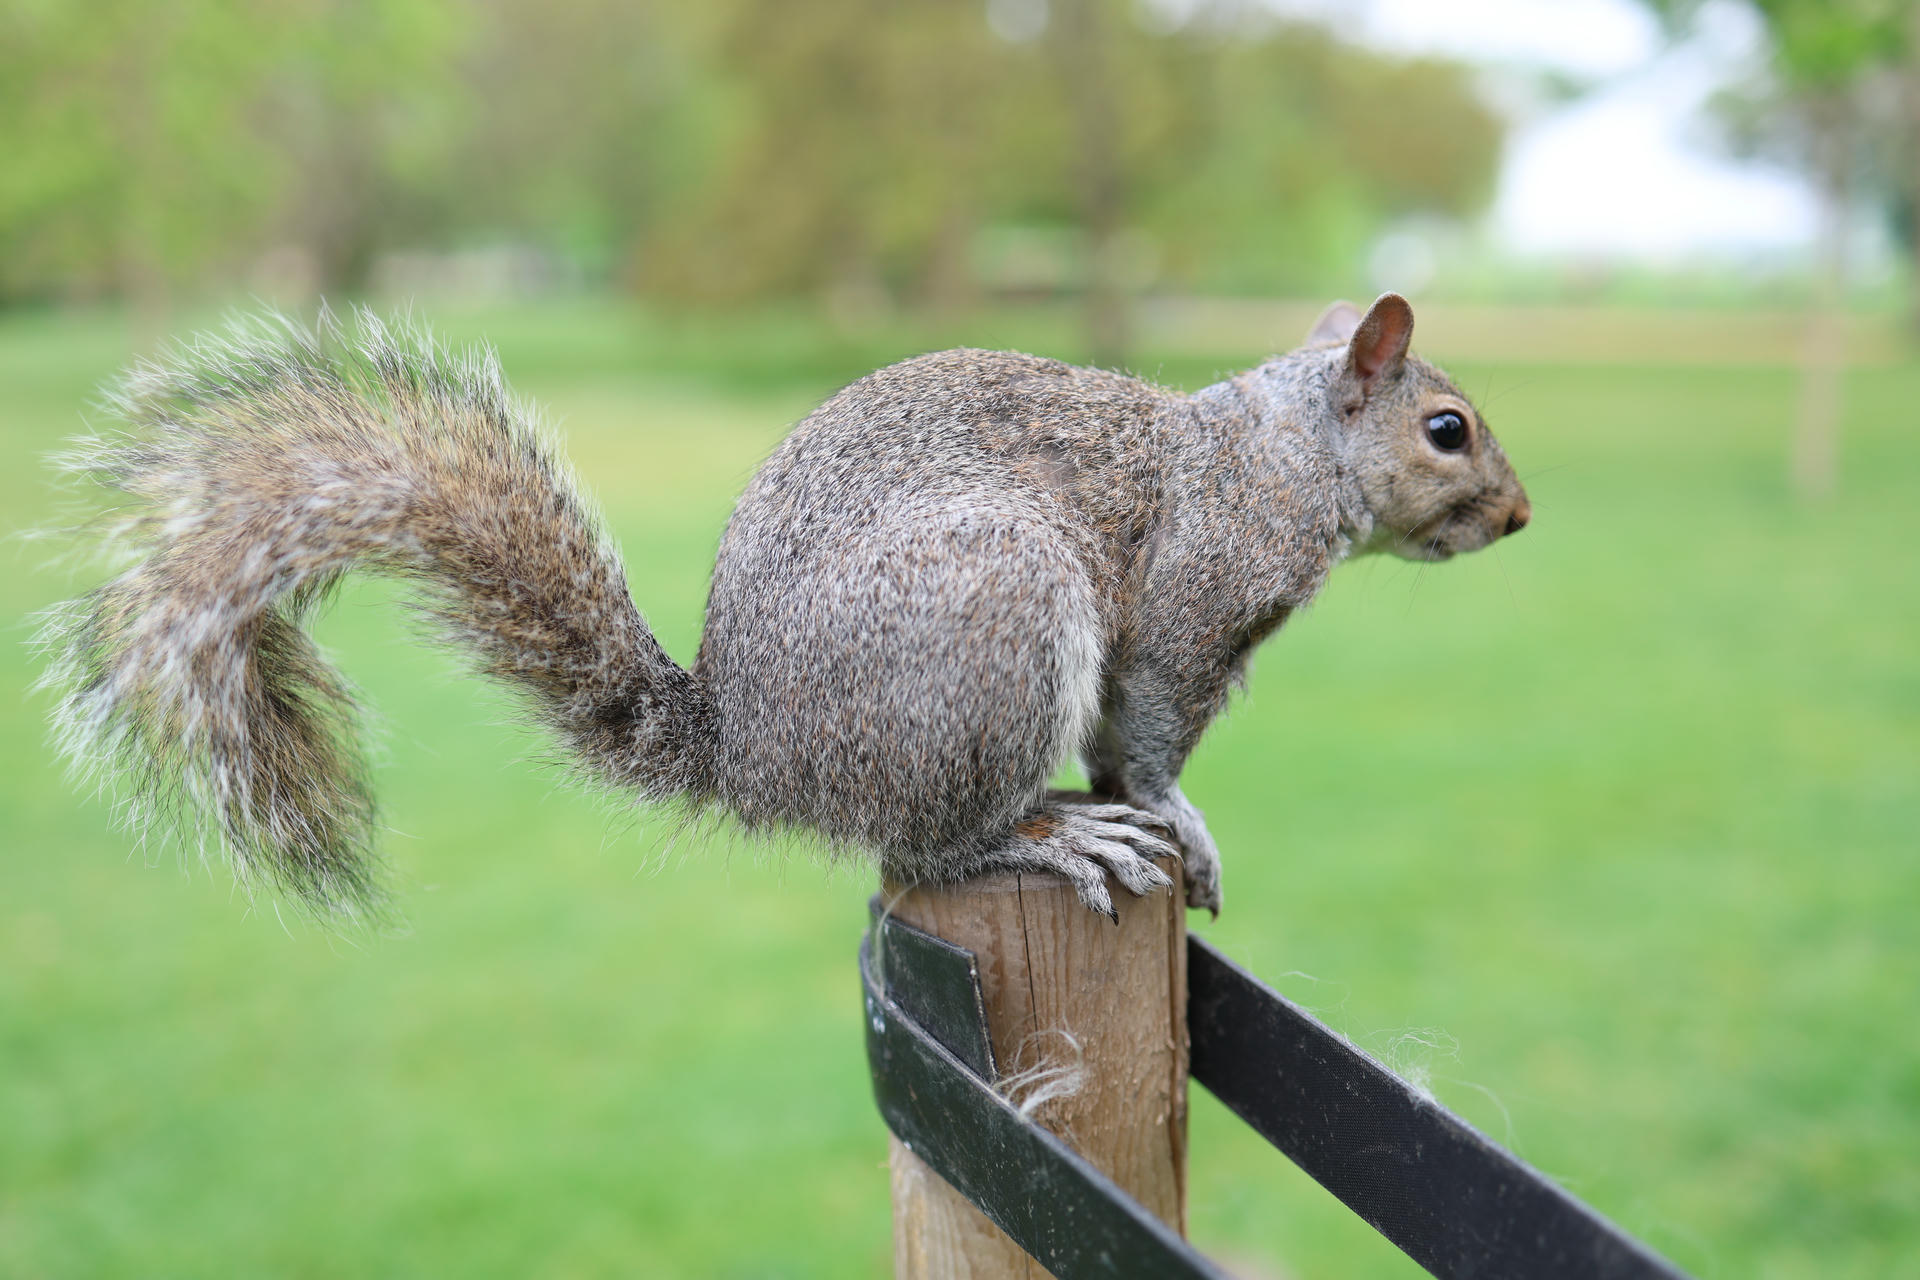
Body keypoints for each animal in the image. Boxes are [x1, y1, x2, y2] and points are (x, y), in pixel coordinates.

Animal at [39, 292, 1527, 922]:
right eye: (1447, 429)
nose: (1518, 518)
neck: (1274, 454)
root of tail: (755, 756)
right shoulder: (1190, 607)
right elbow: (1152, 741)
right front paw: (1170, 820)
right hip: (993, 613)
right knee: (929, 848)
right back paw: (1047, 838)